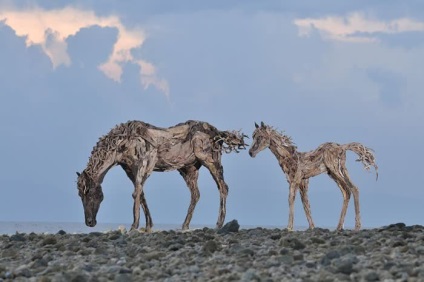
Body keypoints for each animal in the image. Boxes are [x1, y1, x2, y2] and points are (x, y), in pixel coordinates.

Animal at [78, 119, 247, 231]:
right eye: (80, 195)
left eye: (91, 193)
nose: (89, 222)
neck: (123, 144)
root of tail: (218, 133)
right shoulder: (129, 170)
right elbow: (141, 194)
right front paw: (148, 226)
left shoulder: (144, 164)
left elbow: (136, 193)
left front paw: (134, 226)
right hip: (189, 169)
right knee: (196, 194)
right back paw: (185, 225)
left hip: (211, 161)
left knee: (223, 187)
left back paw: (219, 224)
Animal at [248, 122, 378, 230]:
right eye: (253, 136)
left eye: (260, 137)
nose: (250, 152)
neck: (290, 158)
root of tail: (342, 147)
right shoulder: (303, 182)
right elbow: (306, 203)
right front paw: (312, 227)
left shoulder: (294, 181)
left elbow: (291, 199)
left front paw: (289, 227)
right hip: (336, 172)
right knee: (351, 190)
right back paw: (341, 227)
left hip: (335, 170)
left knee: (349, 189)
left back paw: (354, 226)